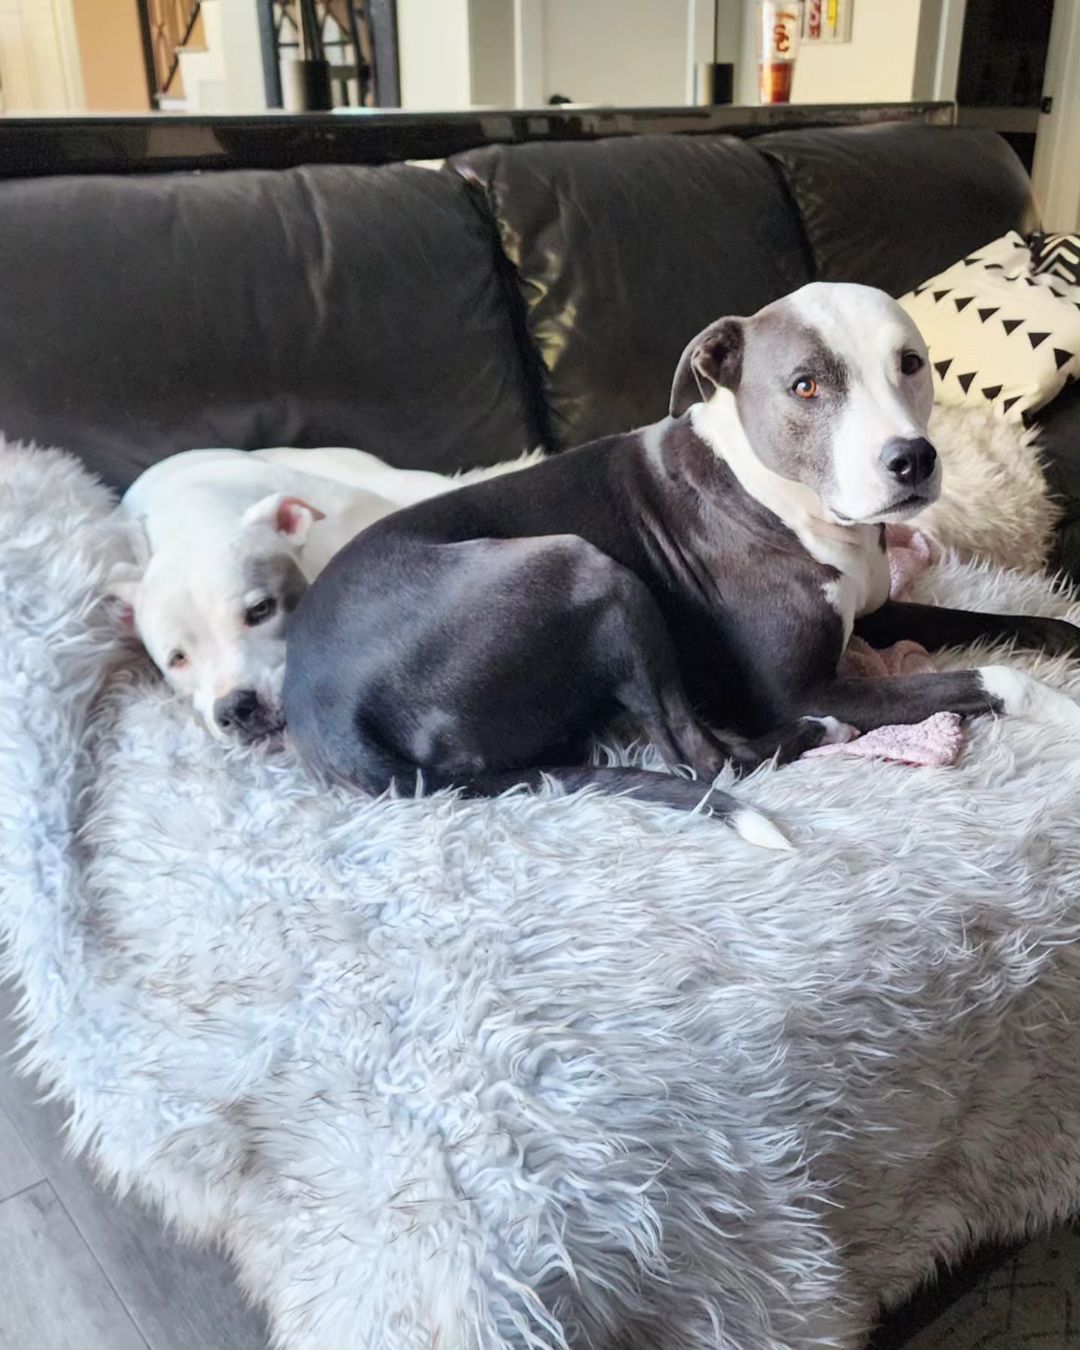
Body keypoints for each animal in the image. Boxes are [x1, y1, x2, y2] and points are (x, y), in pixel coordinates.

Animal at [282, 284, 1080, 842]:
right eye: (806, 385)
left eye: (910, 364)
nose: (912, 460)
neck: (783, 495)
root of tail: (322, 713)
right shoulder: (801, 686)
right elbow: (988, 675)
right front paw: (1061, 704)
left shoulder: (875, 611)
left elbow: (1005, 621)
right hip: (586, 567)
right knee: (705, 757)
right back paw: (818, 736)